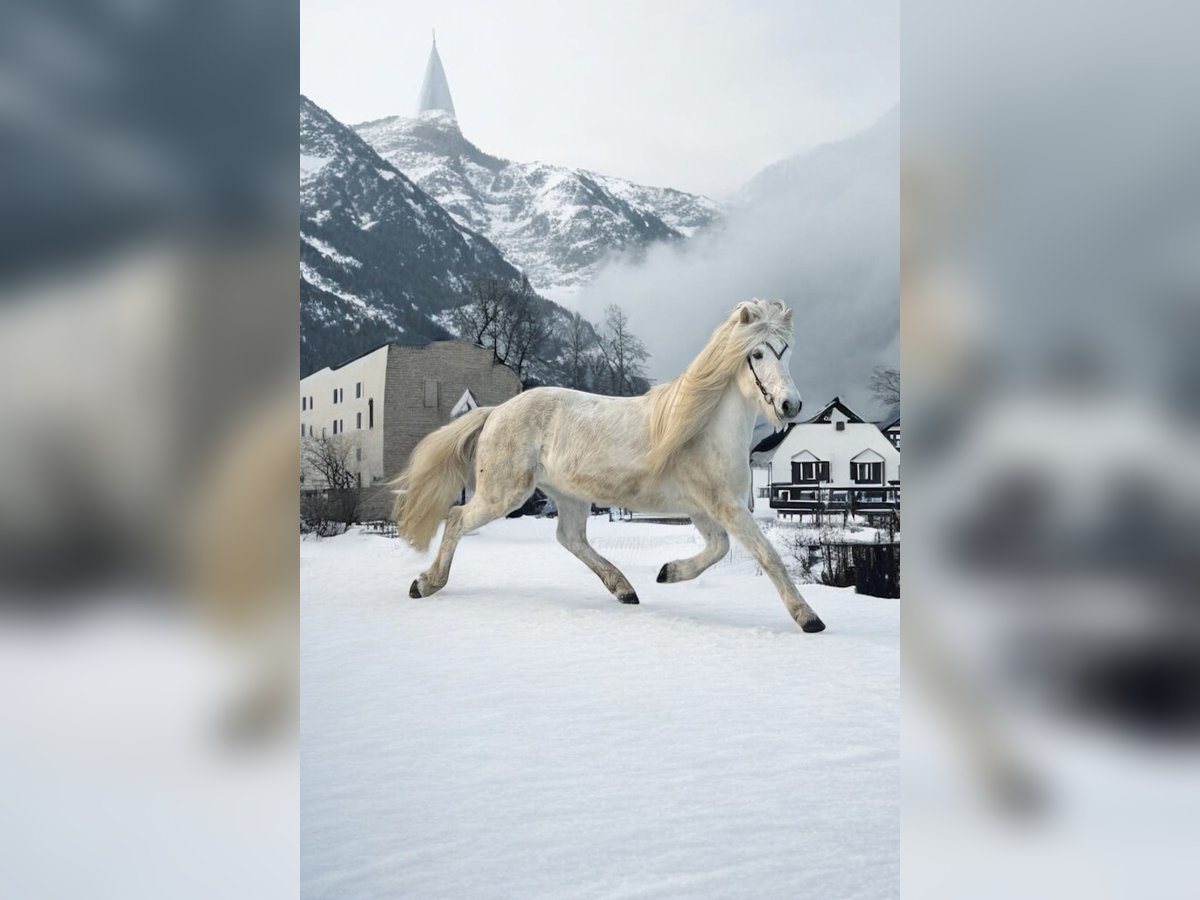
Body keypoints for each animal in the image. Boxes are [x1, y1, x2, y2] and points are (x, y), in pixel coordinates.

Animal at [393, 300, 825, 628]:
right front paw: (809, 618)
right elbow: (766, 555)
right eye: (757, 353)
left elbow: (718, 549)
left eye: (786, 351)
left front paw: (668, 572)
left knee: (570, 538)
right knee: (456, 519)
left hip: (569, 495)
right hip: (505, 493)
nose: (790, 405)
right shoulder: (725, 506)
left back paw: (624, 588)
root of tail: (497, 410)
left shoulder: (704, 509)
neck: (703, 430)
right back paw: (425, 584)